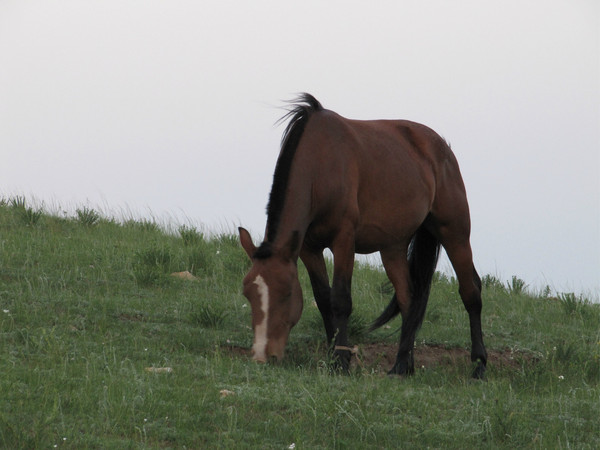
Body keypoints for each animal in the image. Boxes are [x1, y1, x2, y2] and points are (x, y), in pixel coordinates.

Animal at [239, 93, 488, 378]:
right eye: (247, 294)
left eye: (287, 293)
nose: (262, 355)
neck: (320, 165)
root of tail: (442, 149)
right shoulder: (308, 249)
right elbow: (323, 299)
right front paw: (332, 355)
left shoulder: (344, 240)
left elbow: (340, 299)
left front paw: (341, 360)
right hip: (393, 247)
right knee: (409, 298)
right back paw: (403, 364)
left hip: (454, 232)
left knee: (471, 292)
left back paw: (479, 364)